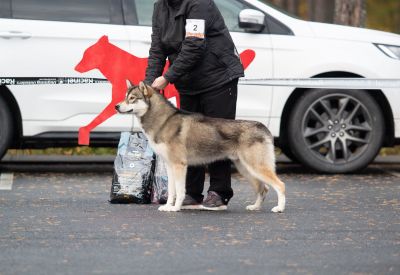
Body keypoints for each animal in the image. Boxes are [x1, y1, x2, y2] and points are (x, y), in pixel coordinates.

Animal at [114, 82, 286, 213]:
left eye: (132, 98)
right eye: (125, 97)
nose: (116, 106)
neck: (164, 121)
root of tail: (262, 126)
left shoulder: (180, 166)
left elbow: (180, 191)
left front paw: (175, 208)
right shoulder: (170, 166)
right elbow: (171, 191)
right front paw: (168, 206)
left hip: (256, 168)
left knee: (280, 185)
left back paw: (279, 208)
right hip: (246, 169)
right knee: (263, 189)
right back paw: (255, 207)